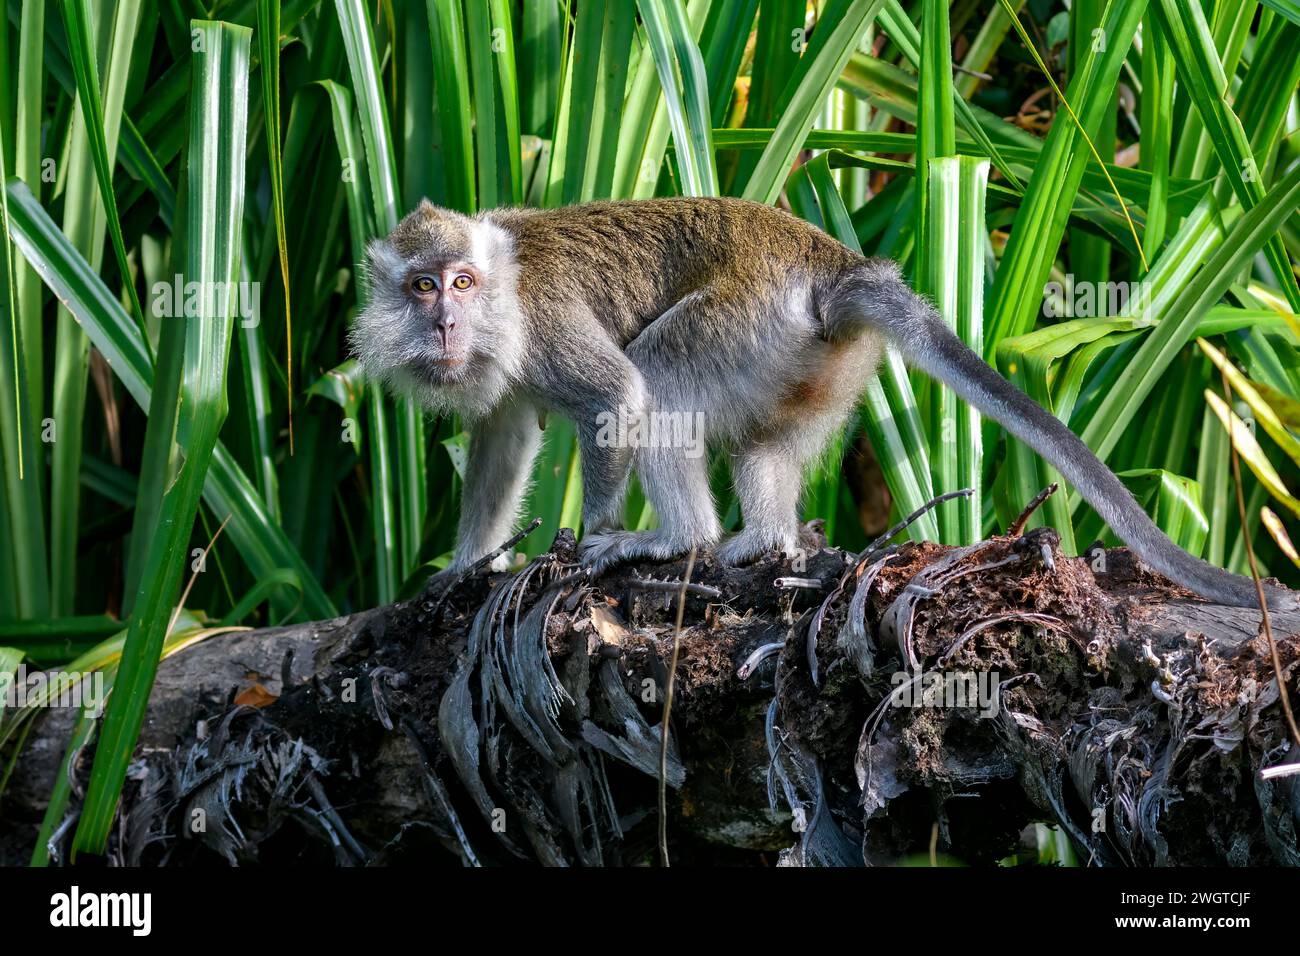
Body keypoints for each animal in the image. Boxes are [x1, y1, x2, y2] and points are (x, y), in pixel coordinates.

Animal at [350, 195, 1296, 612]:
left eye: (462, 283)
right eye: (424, 285)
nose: (445, 323)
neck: (502, 296)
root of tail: (834, 269)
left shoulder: (541, 325)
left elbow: (617, 394)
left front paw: (586, 536)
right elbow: (501, 439)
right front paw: (468, 563)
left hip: (745, 315)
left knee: (660, 375)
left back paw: (676, 539)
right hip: (811, 361)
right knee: (763, 439)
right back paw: (766, 541)